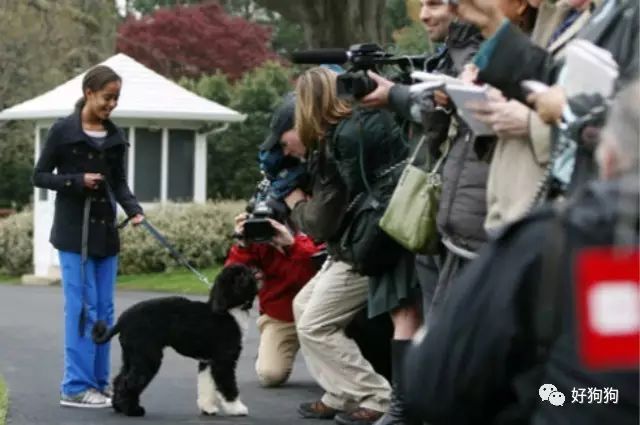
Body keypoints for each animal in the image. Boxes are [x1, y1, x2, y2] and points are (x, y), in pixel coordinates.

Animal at [92, 264, 258, 416]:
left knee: (120, 380)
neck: (228, 310)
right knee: (129, 383)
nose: (255, 271)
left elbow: (206, 385)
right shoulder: (224, 361)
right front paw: (237, 408)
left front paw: (207, 408)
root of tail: (122, 320)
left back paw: (119, 407)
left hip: (131, 356)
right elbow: (229, 386)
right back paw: (132, 410)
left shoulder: (207, 362)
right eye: (240, 275)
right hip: (147, 357)